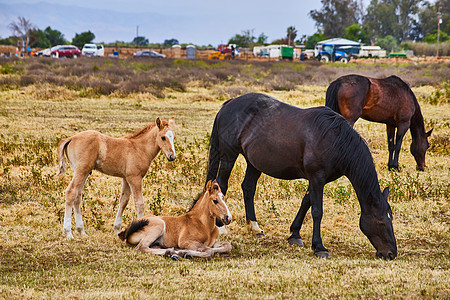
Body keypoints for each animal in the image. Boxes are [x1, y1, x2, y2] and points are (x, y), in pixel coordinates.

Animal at [206, 92, 396, 258]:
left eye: (391, 219)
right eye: (381, 222)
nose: (391, 253)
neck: (334, 140)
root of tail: (229, 104)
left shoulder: (318, 179)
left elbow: (306, 202)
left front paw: (295, 234)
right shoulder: (317, 178)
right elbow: (317, 211)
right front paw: (319, 247)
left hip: (254, 162)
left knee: (248, 188)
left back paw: (254, 227)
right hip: (229, 157)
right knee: (221, 185)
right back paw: (221, 227)